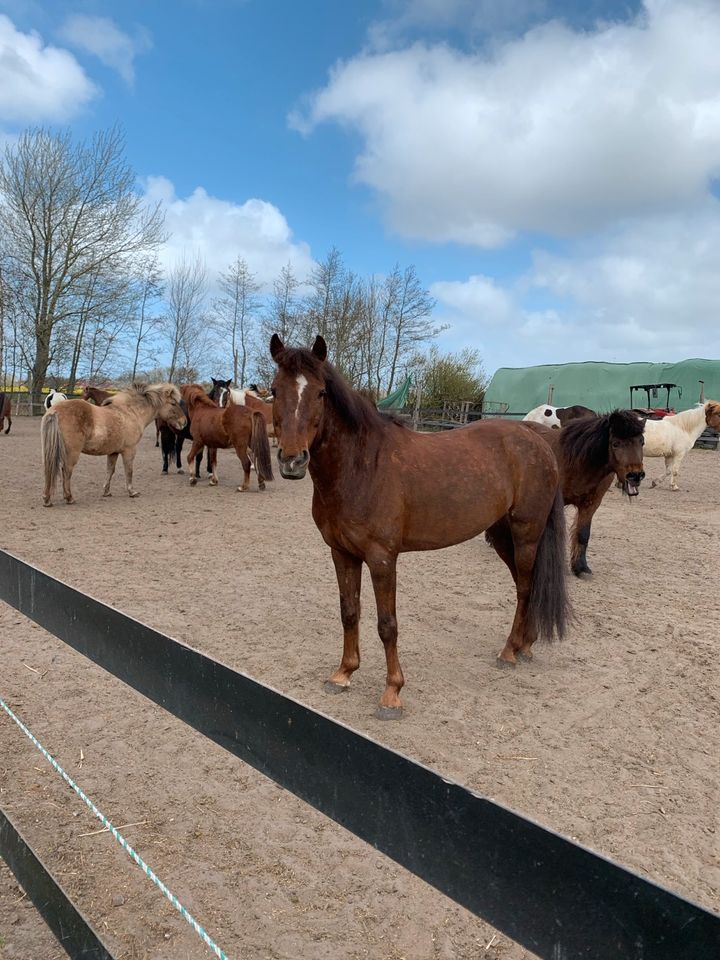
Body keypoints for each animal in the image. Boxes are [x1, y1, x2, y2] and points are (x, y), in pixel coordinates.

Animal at [41, 382, 186, 506]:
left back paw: (47, 499)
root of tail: (55, 411)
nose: (184, 422)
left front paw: (106, 492)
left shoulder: (113, 452)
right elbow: (129, 470)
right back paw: (69, 498)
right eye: (173, 403)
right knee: (66, 471)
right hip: (72, 454)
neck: (131, 413)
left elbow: (110, 471)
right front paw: (132, 492)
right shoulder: (129, 450)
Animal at [268, 334, 572, 716]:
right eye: (274, 390)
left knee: (526, 589)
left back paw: (509, 652)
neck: (361, 465)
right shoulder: (341, 553)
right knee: (524, 585)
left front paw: (392, 693)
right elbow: (349, 612)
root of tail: (537, 440)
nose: (292, 460)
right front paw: (343, 674)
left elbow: (387, 625)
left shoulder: (382, 558)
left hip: (526, 534)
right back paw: (525, 645)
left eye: (321, 392)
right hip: (502, 535)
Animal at [524, 406, 648, 572]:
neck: (579, 461)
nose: (635, 475)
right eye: (615, 443)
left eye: (641, 442)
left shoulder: (591, 504)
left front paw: (580, 566)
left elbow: (583, 534)